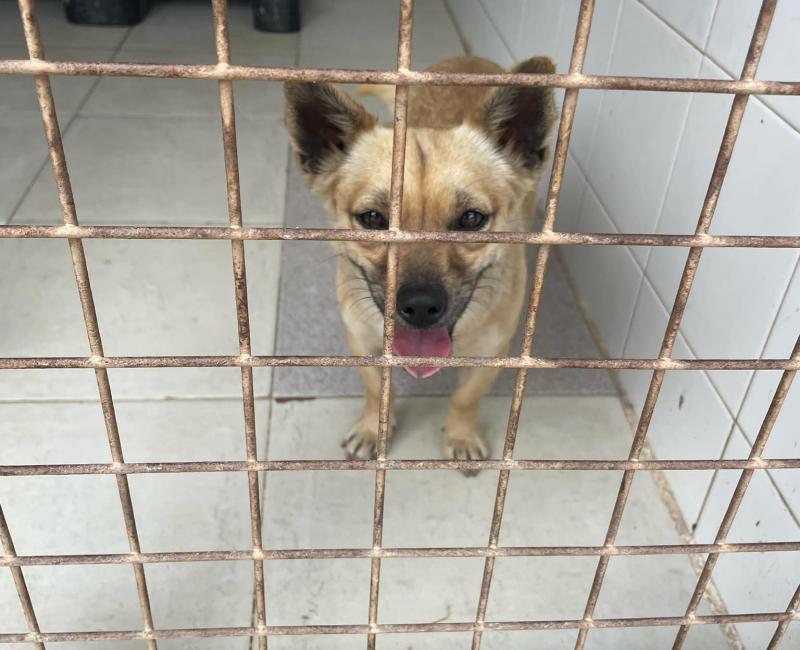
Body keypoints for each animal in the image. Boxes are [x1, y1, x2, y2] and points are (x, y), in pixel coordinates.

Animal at [283, 55, 556, 464]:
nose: (421, 306)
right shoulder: (362, 341)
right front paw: (372, 428)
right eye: (373, 219)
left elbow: (464, 398)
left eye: (472, 219)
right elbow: (377, 391)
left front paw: (461, 435)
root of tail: (469, 60)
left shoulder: (491, 355)